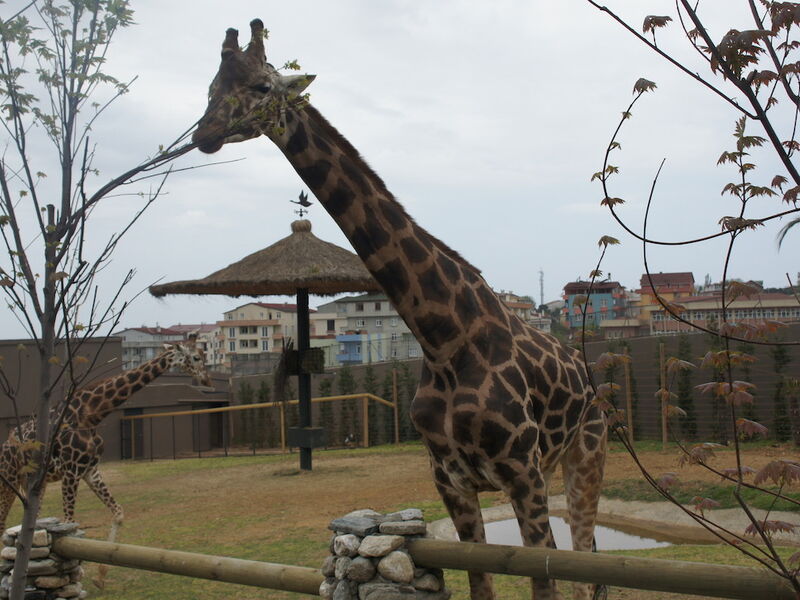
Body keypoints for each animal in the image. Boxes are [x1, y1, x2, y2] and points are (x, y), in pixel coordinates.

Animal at [195, 19, 608, 600]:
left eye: (261, 86)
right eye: (211, 87)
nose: (204, 133)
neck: (445, 339)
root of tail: (590, 376)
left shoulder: (522, 473)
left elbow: (545, 577)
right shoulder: (451, 481)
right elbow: (480, 582)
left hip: (585, 453)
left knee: (588, 561)